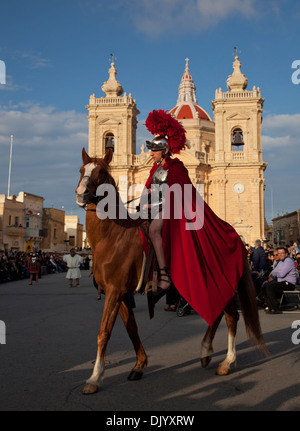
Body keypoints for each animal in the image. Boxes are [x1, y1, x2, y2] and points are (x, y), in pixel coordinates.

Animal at [75, 148, 268, 394]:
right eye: (82, 170)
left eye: (100, 172)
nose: (80, 194)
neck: (114, 236)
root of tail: (234, 236)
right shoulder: (122, 294)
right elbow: (132, 329)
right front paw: (139, 365)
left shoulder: (114, 292)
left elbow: (103, 332)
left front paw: (95, 377)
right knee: (217, 314)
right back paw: (206, 352)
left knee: (232, 316)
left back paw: (227, 362)